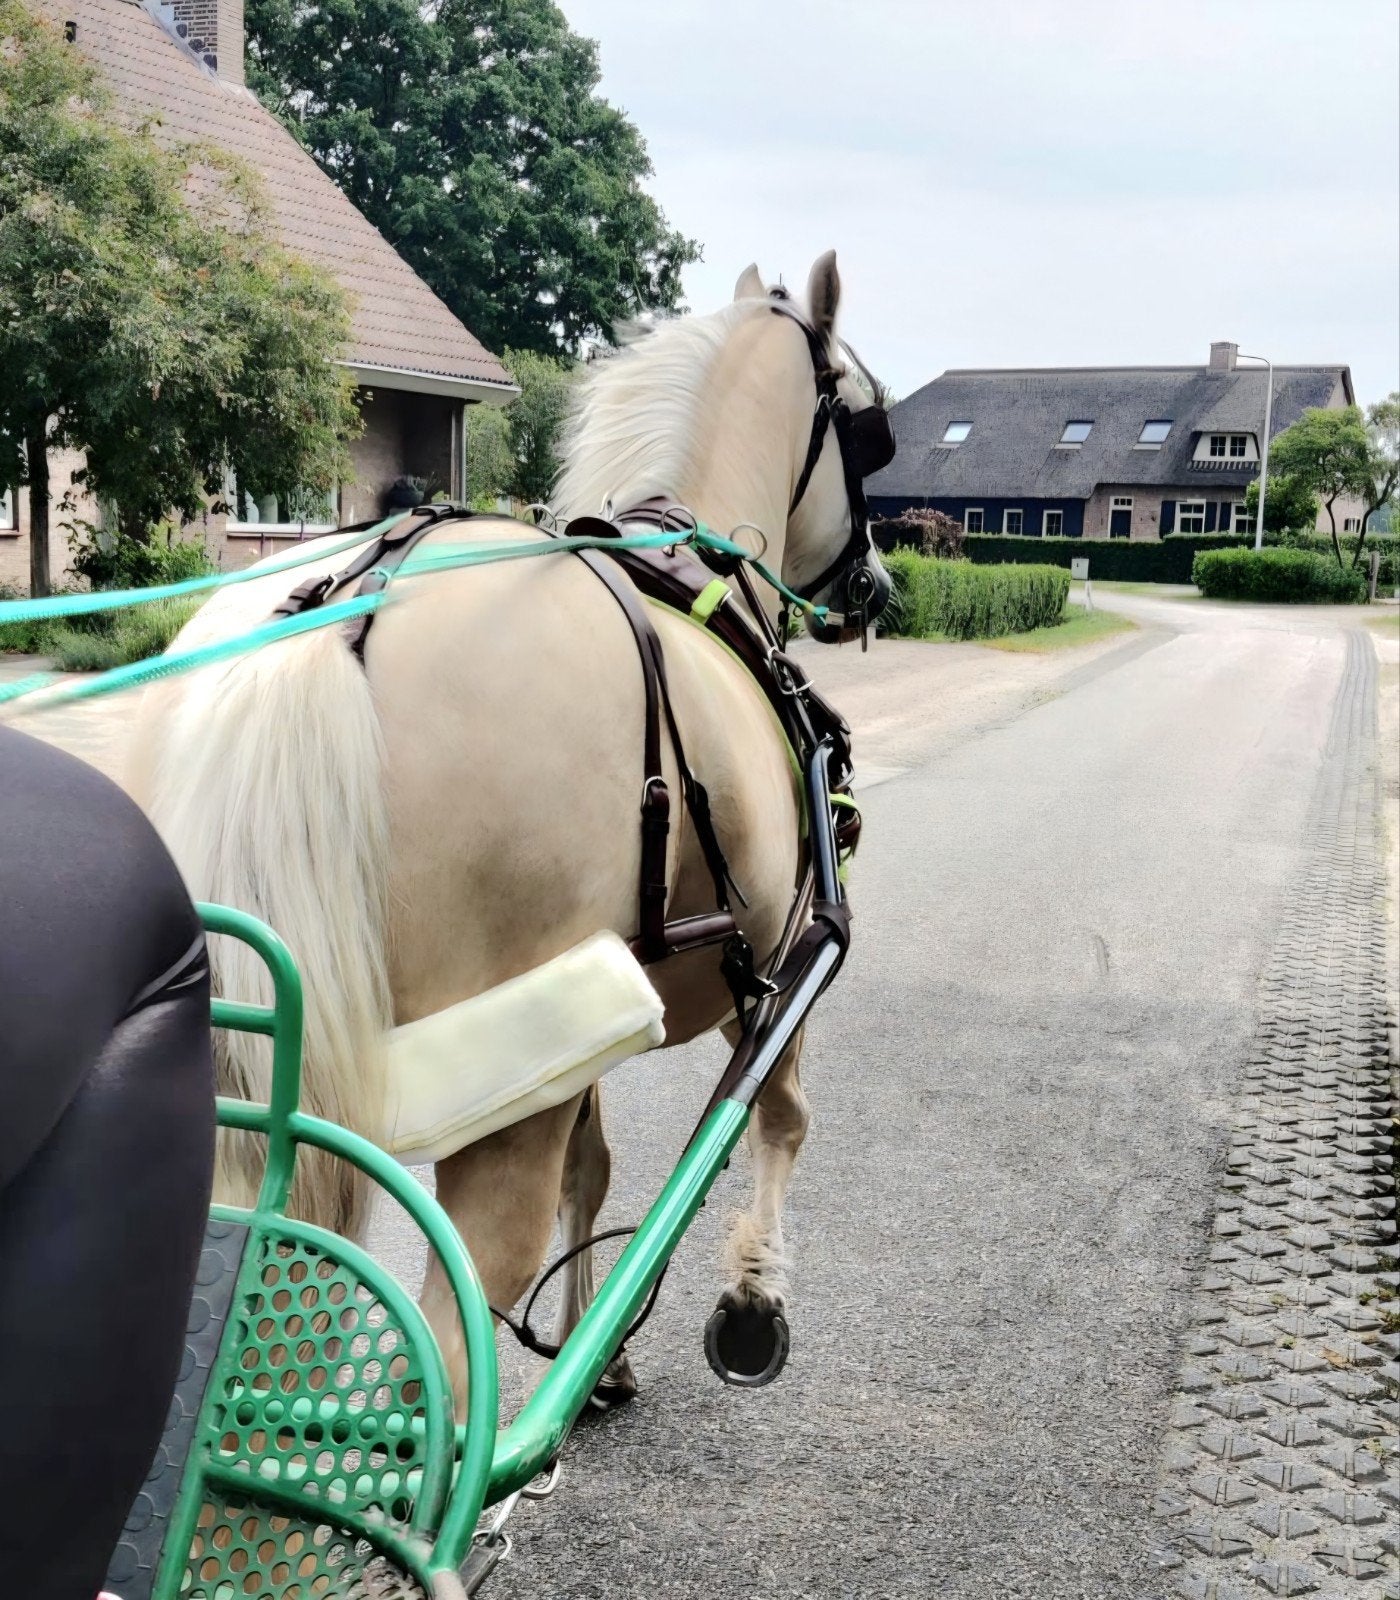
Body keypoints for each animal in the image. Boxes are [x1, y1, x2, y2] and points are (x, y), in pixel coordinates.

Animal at [128, 249, 892, 1407]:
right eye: (867, 424)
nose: (877, 588)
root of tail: (346, 603)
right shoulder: (777, 955)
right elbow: (779, 1113)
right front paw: (752, 1301)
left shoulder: (602, 1016)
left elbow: (598, 1166)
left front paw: (601, 1355)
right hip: (501, 1080)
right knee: (449, 1345)